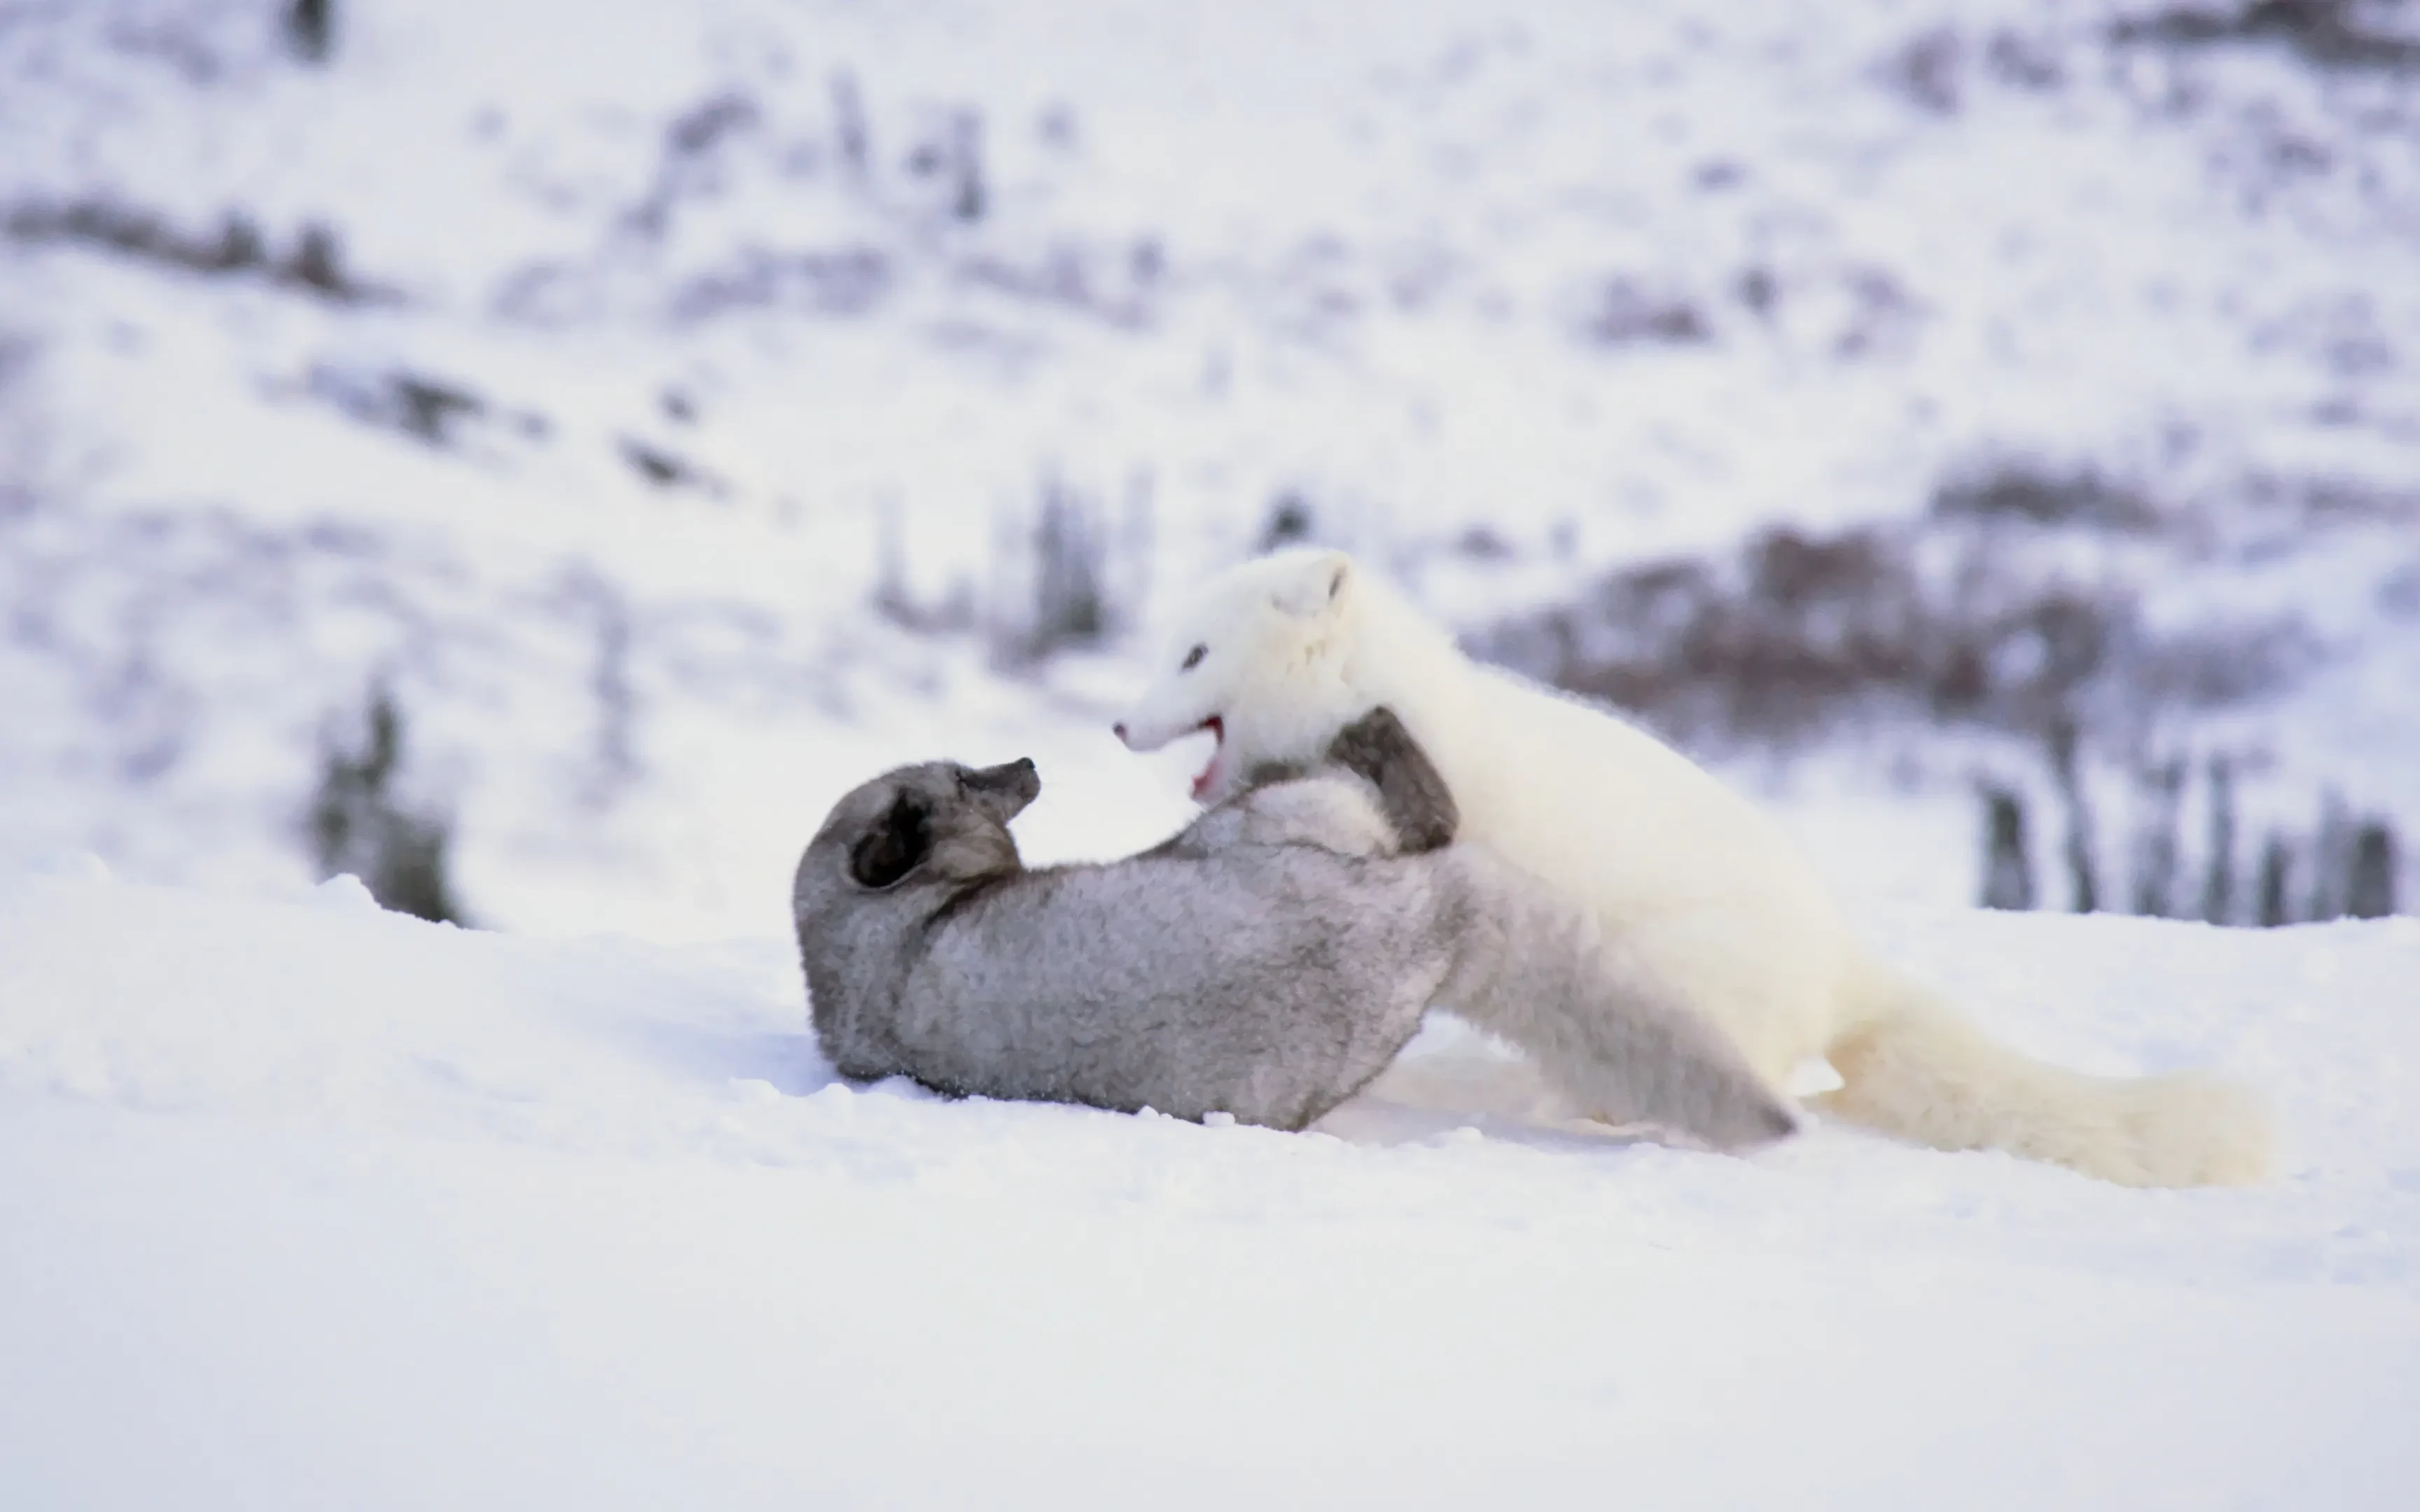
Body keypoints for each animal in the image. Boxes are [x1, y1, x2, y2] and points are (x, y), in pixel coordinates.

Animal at [793, 706, 1800, 1142]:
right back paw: (1368, 722)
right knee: (1426, 802)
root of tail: (1429, 922)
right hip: (1277, 825)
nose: (1030, 763)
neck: (873, 946)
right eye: (967, 780)